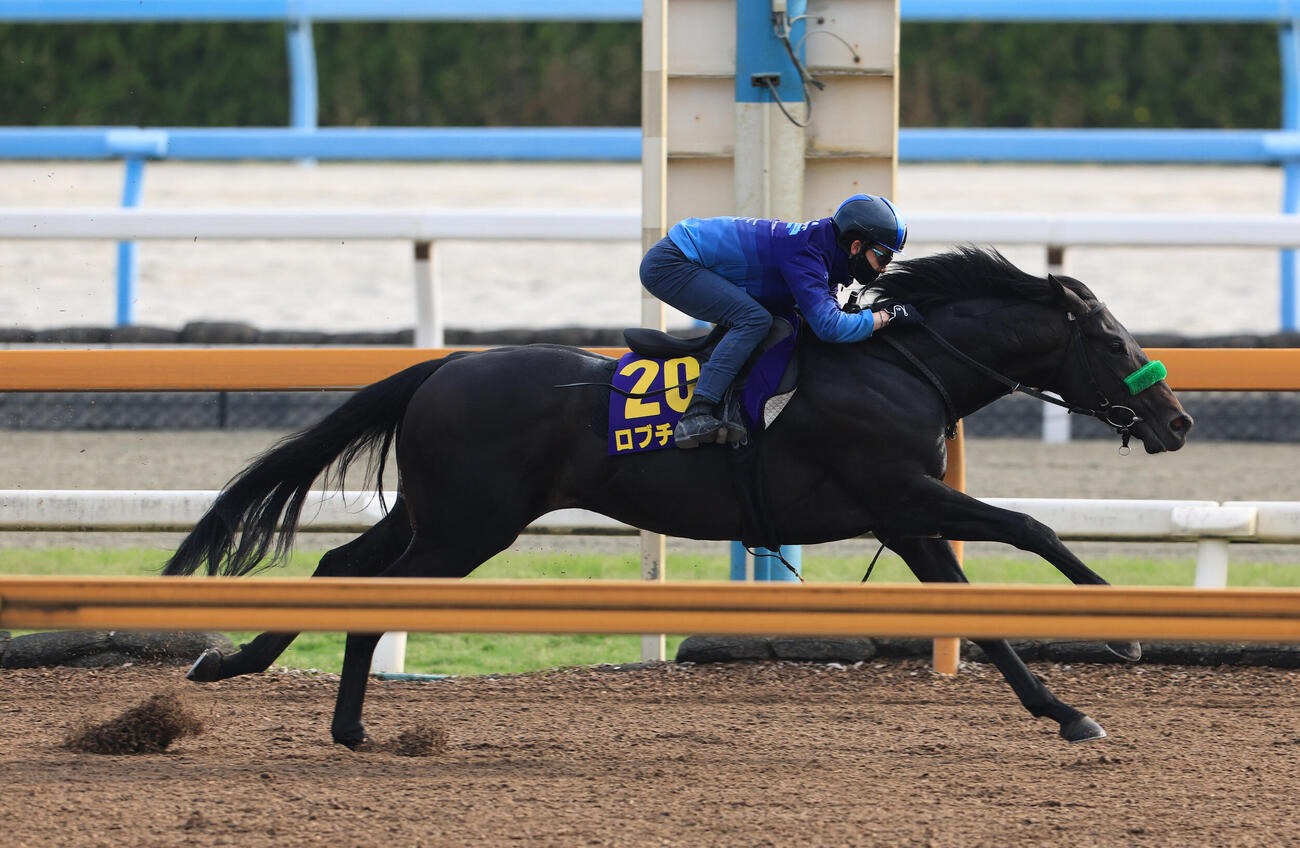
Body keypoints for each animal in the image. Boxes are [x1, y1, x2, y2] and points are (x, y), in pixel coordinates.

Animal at [163, 246, 1193, 749]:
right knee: (373, 589)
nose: (1177, 422)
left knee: (344, 566)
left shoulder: (905, 519)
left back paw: (257, 678)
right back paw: (329, 715)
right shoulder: (905, 496)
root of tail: (444, 366)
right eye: (1111, 342)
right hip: (469, 527)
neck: (901, 368)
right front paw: (1118, 630)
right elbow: (1030, 528)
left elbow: (980, 614)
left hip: (436, 513)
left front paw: (1067, 711)